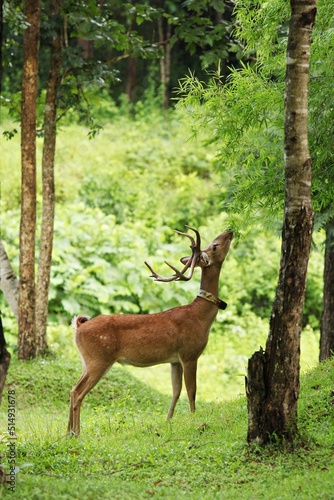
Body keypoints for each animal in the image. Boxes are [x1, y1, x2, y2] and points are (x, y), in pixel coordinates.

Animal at [68, 226, 232, 434]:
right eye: (215, 246)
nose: (230, 230)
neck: (200, 316)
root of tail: (79, 326)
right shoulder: (189, 353)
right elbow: (192, 390)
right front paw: (195, 419)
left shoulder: (174, 360)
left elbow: (176, 390)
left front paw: (168, 420)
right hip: (98, 359)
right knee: (78, 392)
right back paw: (76, 433)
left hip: (87, 361)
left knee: (73, 389)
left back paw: (67, 433)